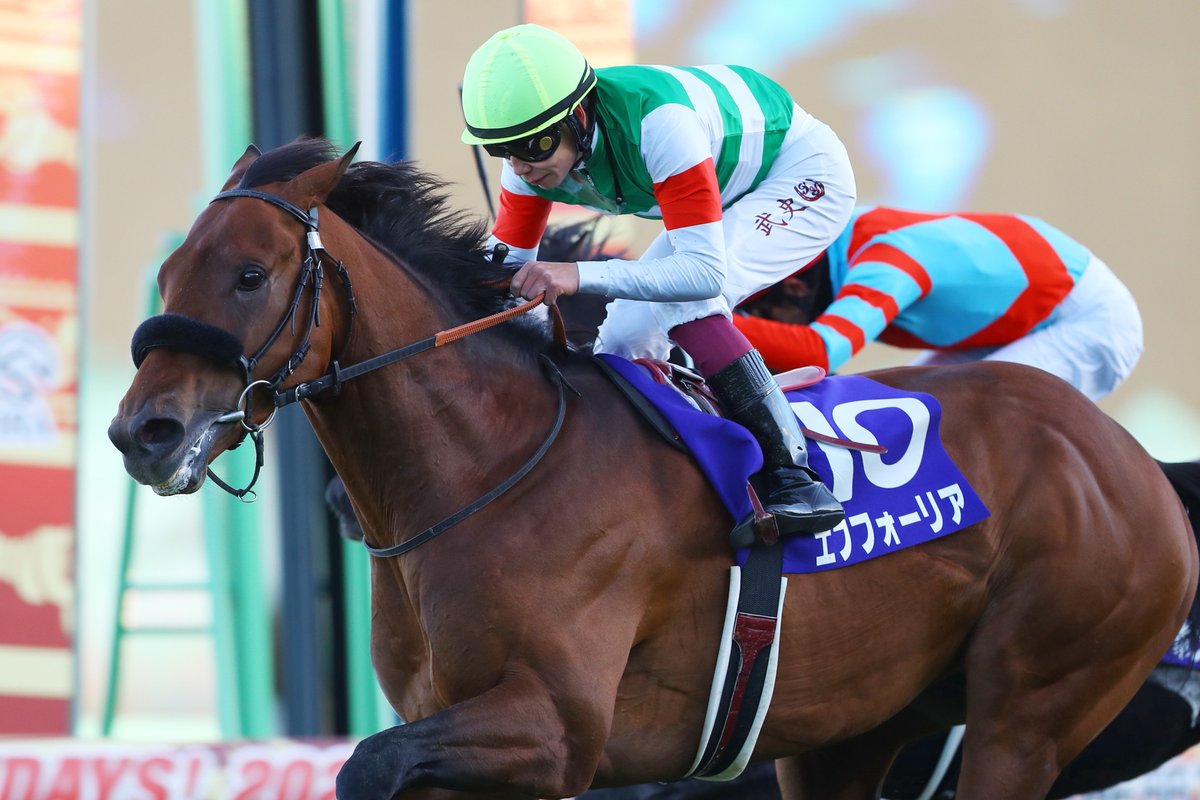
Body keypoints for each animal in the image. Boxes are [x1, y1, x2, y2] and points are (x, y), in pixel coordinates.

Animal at [108, 138, 1198, 799]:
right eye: (166, 273)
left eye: (251, 274)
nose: (142, 434)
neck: (488, 470)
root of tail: (1132, 463)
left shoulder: (559, 728)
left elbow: (367, 766)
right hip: (847, 733)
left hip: (1031, 708)